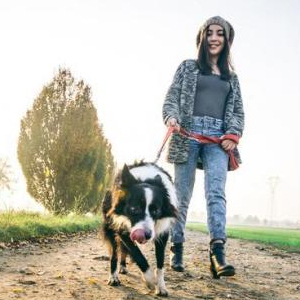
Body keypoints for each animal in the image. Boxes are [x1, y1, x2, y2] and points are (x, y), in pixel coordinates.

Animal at [102, 161, 178, 296]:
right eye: (134, 209)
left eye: (156, 211)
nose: (146, 235)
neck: (146, 179)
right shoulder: (121, 227)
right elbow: (138, 255)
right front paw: (150, 280)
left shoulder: (162, 232)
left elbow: (160, 263)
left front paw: (161, 287)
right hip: (110, 226)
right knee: (115, 253)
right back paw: (113, 277)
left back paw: (123, 267)